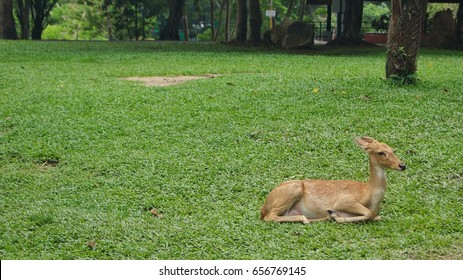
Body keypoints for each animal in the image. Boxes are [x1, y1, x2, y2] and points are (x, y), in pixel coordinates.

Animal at [260, 136, 408, 223]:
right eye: (380, 152)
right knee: (270, 217)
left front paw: (334, 216)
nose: (402, 165)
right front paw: (336, 215)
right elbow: (367, 213)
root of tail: (263, 207)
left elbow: (375, 216)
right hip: (292, 190)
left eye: (392, 149)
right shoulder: (345, 201)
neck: (369, 193)